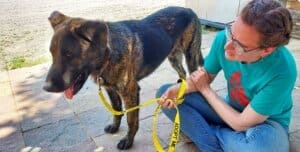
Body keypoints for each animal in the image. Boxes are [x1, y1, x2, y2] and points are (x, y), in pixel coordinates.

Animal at [43, 6, 203, 150]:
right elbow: (116, 111)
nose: (46, 87)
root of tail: (188, 9)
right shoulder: (111, 89)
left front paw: (128, 140)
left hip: (191, 55)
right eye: (52, 53)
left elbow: (131, 119)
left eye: (69, 54)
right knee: (182, 72)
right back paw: (180, 89)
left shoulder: (130, 92)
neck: (108, 54)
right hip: (173, 56)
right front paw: (115, 127)